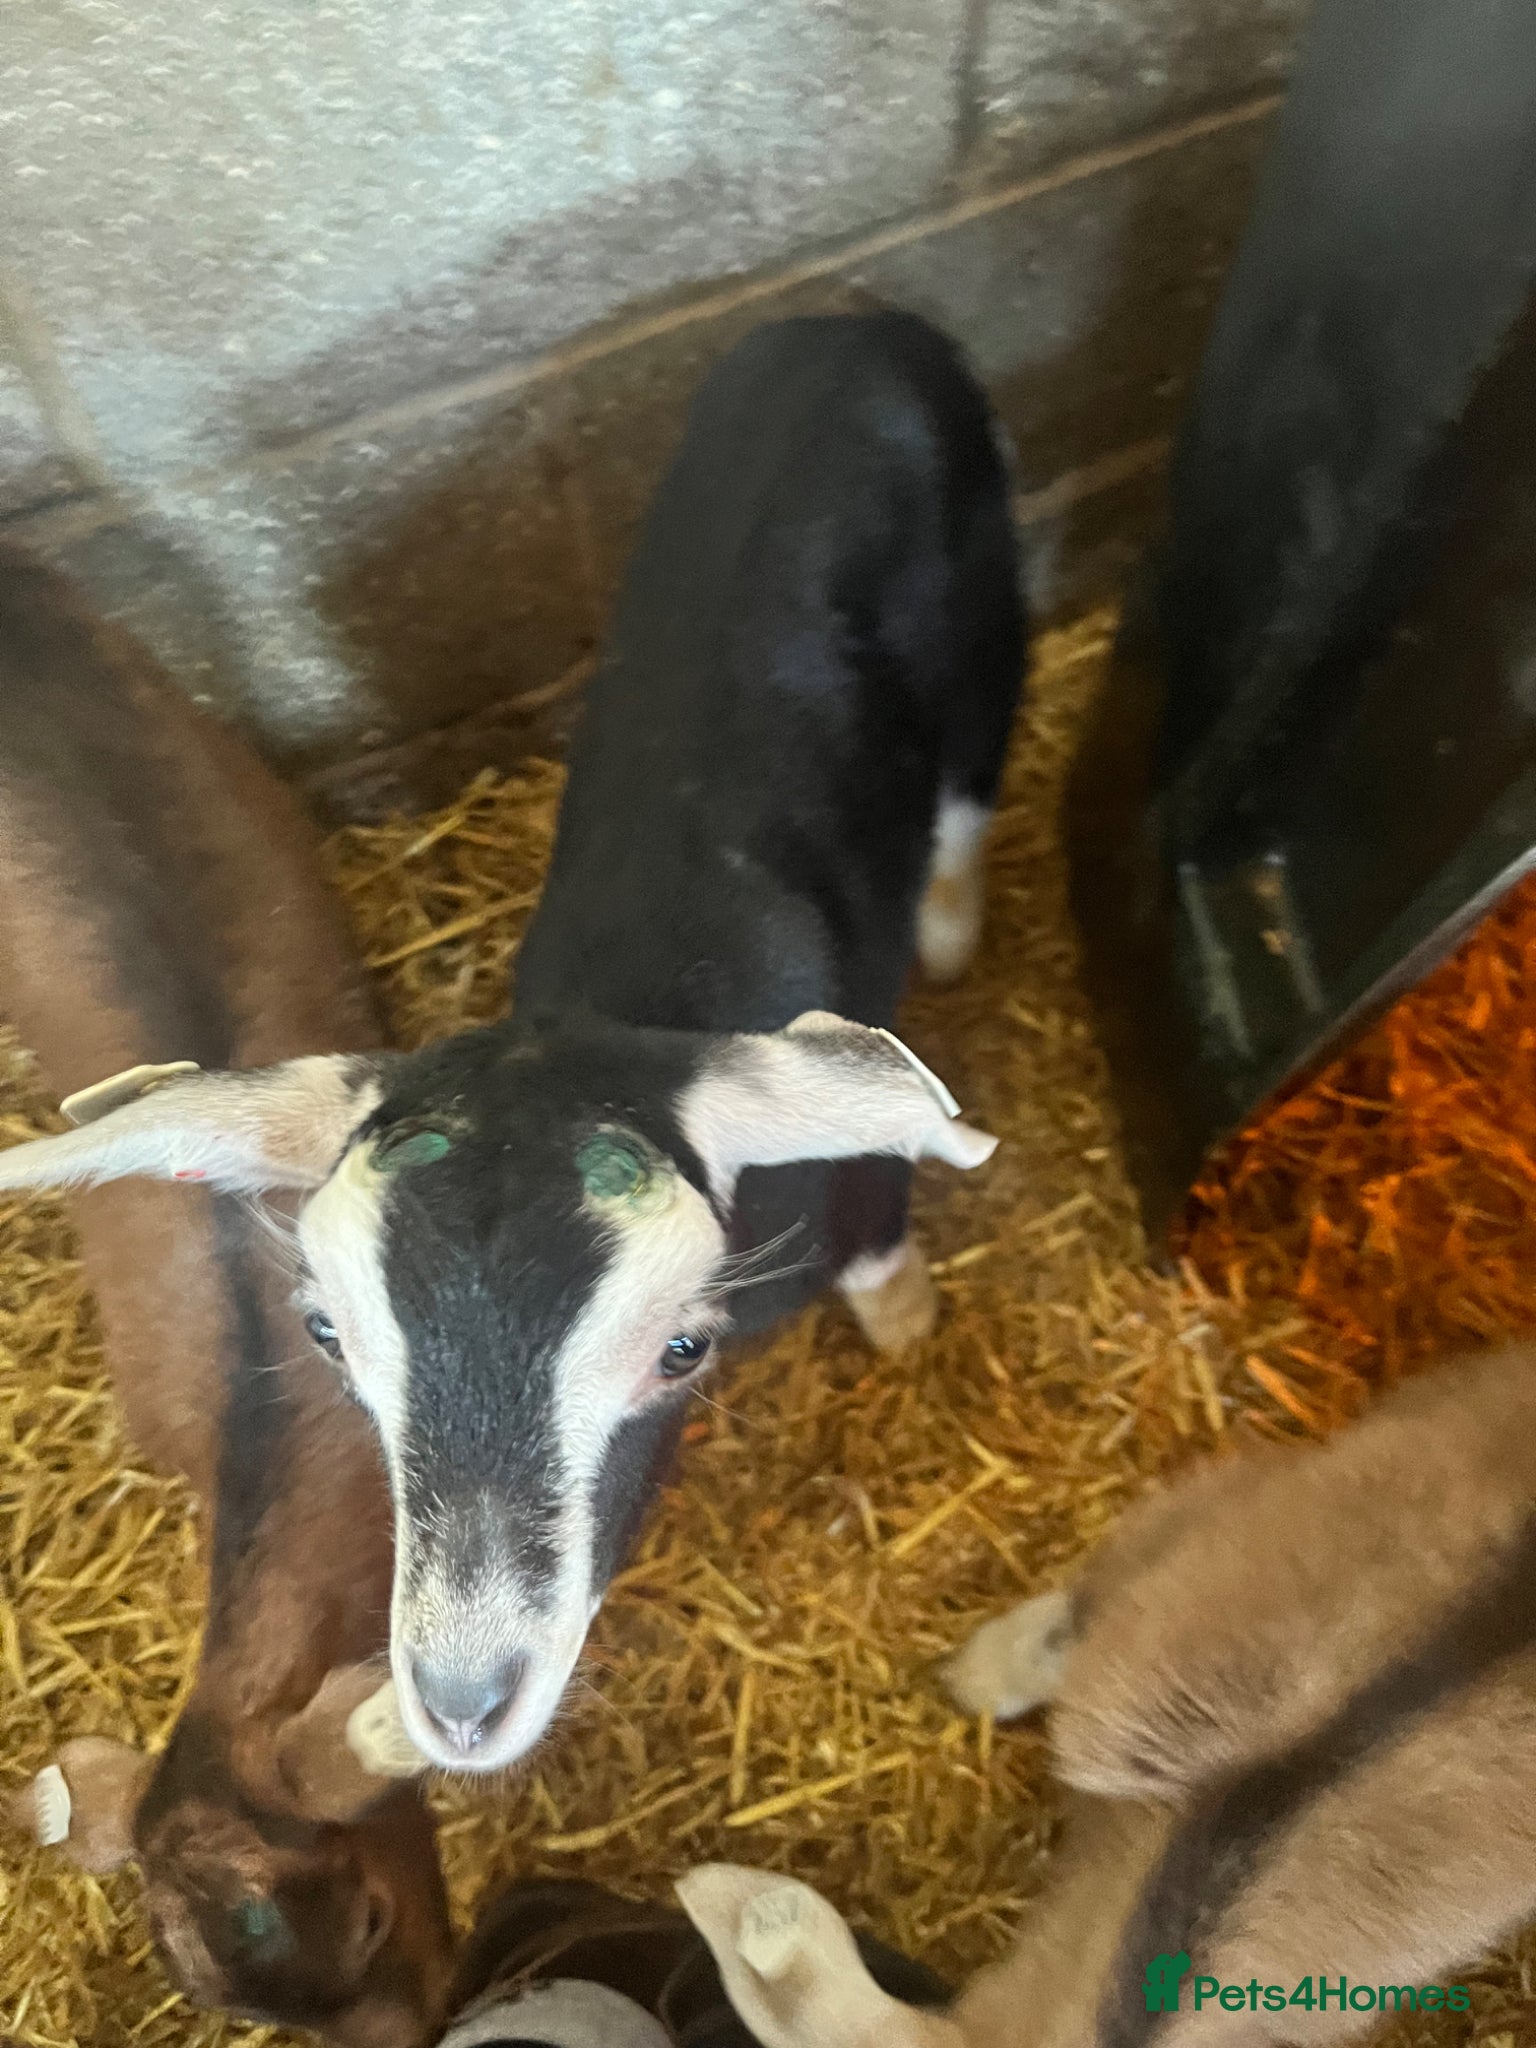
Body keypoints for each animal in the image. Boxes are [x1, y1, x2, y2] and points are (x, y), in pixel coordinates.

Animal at [0, 311, 1026, 1776]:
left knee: (966, 782)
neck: (642, 979)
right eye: (324, 1331)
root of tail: (859, 324)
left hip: (990, 602)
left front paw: (906, 1324)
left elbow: (883, 1211)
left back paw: (946, 923)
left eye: (680, 1349)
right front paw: (382, 1727)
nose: (464, 1700)